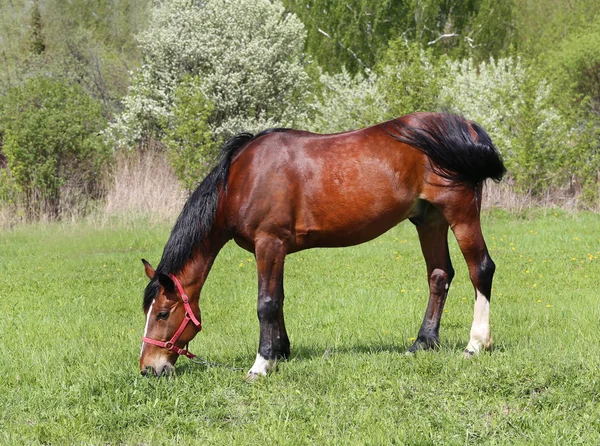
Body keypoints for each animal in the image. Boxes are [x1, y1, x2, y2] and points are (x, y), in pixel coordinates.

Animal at [139, 112, 506, 380]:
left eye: (162, 313)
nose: (148, 368)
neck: (243, 179)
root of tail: (467, 129)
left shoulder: (268, 243)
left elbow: (266, 303)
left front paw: (261, 364)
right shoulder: (276, 249)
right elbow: (278, 299)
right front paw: (280, 351)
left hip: (460, 211)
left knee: (480, 269)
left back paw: (476, 344)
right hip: (430, 220)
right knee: (439, 276)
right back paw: (423, 343)